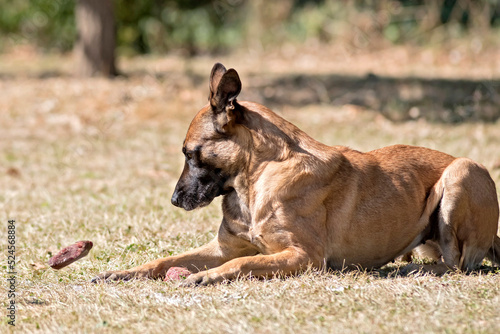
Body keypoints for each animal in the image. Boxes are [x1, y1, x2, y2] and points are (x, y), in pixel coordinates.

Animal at [92, 62, 498, 284]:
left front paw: (205, 276)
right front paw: (120, 272)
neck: (255, 179)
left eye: (190, 154)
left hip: (462, 172)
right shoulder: (222, 247)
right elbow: (163, 261)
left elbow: (244, 262)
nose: (175, 200)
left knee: (459, 265)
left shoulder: (304, 256)